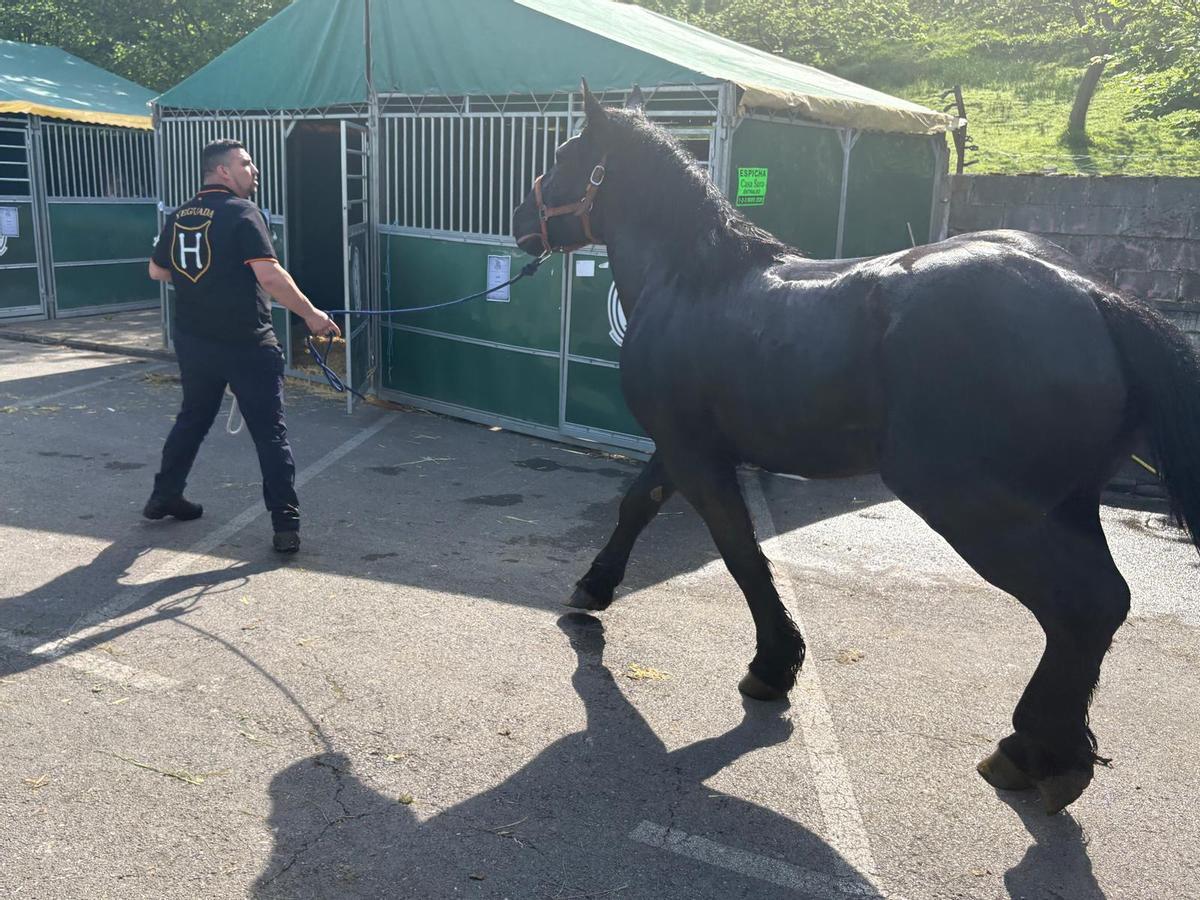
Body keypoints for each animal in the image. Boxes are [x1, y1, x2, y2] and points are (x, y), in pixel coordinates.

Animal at [511, 81, 1200, 814]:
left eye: (563, 157)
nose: (522, 218)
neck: (691, 282)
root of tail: (1094, 296)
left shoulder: (697, 454)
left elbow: (738, 549)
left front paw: (771, 664)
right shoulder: (682, 443)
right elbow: (639, 503)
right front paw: (595, 584)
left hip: (979, 508)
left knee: (1081, 607)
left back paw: (1030, 751)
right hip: (1066, 505)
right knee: (1108, 603)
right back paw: (1055, 751)